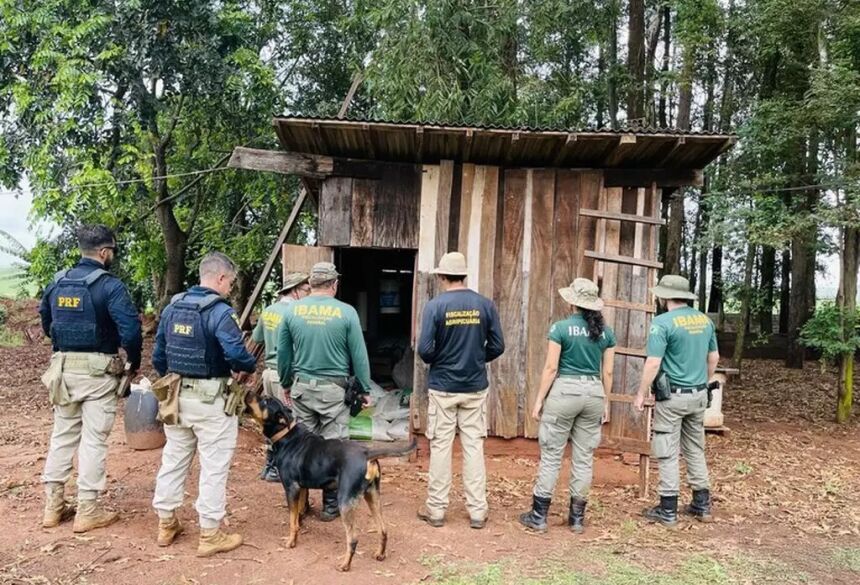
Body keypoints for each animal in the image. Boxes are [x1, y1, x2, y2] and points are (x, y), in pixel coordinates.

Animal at [245, 392, 416, 572]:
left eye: (265, 401)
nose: (248, 392)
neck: (285, 434)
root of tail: (367, 453)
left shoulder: (291, 488)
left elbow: (292, 520)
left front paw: (291, 541)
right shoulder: (302, 487)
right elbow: (299, 513)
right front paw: (300, 525)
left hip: (345, 500)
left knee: (353, 538)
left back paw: (345, 564)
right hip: (373, 495)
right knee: (383, 529)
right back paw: (380, 554)